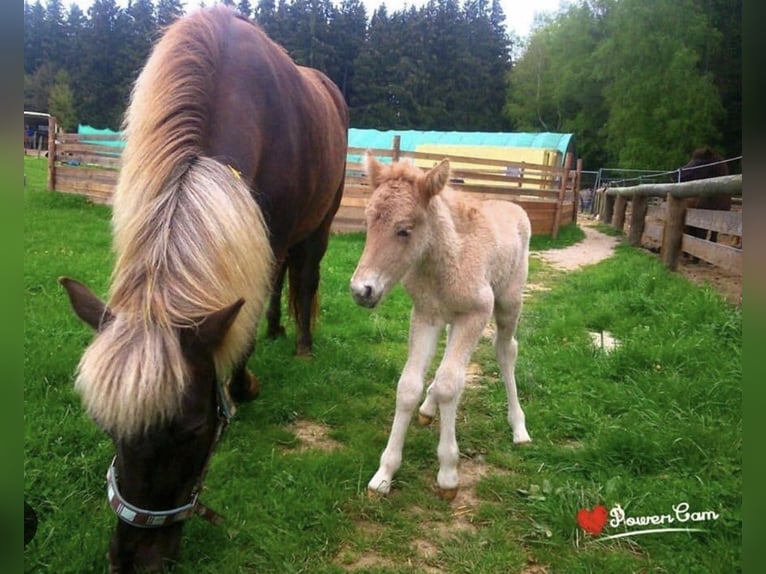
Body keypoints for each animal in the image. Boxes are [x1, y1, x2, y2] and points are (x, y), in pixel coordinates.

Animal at [59, 7, 347, 572]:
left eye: (192, 430)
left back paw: (302, 343)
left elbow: (246, 316)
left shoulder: (272, 230)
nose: (132, 561)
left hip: (318, 225)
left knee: (303, 276)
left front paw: (243, 384)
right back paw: (279, 330)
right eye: (108, 428)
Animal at [349, 152, 532, 500]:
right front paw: (385, 473)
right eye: (367, 221)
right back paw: (429, 405)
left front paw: (448, 474)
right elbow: (408, 387)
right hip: (452, 319)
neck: (444, 260)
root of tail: (515, 207)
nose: (361, 290)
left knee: (506, 350)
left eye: (404, 230)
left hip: (508, 303)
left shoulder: (475, 313)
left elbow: (451, 385)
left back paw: (519, 427)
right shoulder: (425, 316)